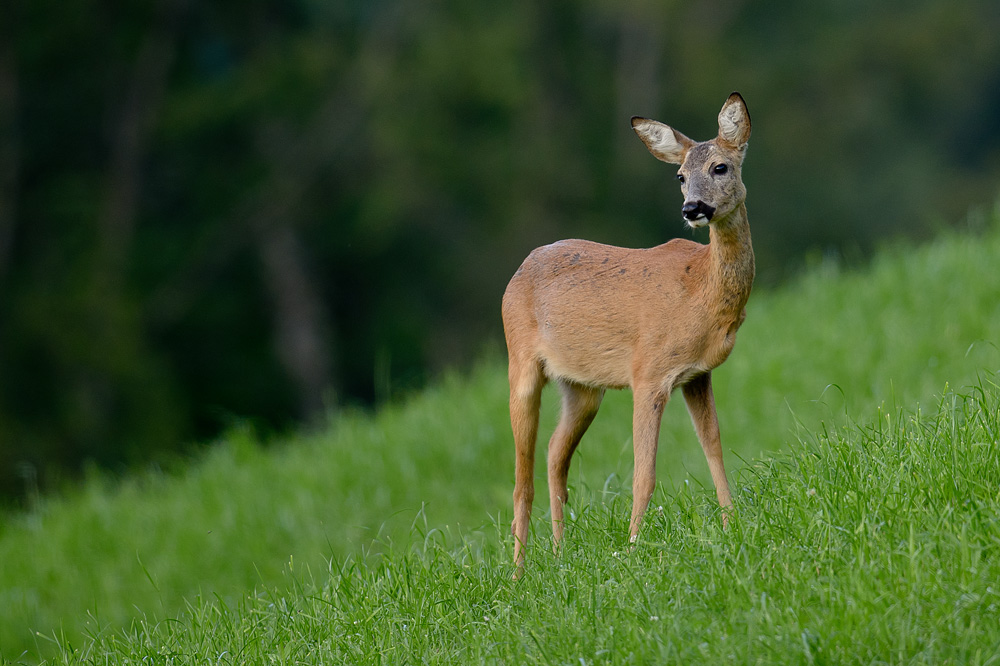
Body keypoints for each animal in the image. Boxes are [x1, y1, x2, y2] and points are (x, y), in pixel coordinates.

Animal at [504, 92, 752, 572]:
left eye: (720, 167)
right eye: (679, 176)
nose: (692, 209)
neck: (700, 291)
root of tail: (517, 271)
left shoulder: (696, 373)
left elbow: (713, 446)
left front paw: (732, 525)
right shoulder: (648, 372)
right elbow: (644, 473)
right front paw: (635, 547)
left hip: (582, 387)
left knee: (555, 456)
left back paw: (559, 553)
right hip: (520, 362)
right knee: (521, 480)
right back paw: (519, 573)